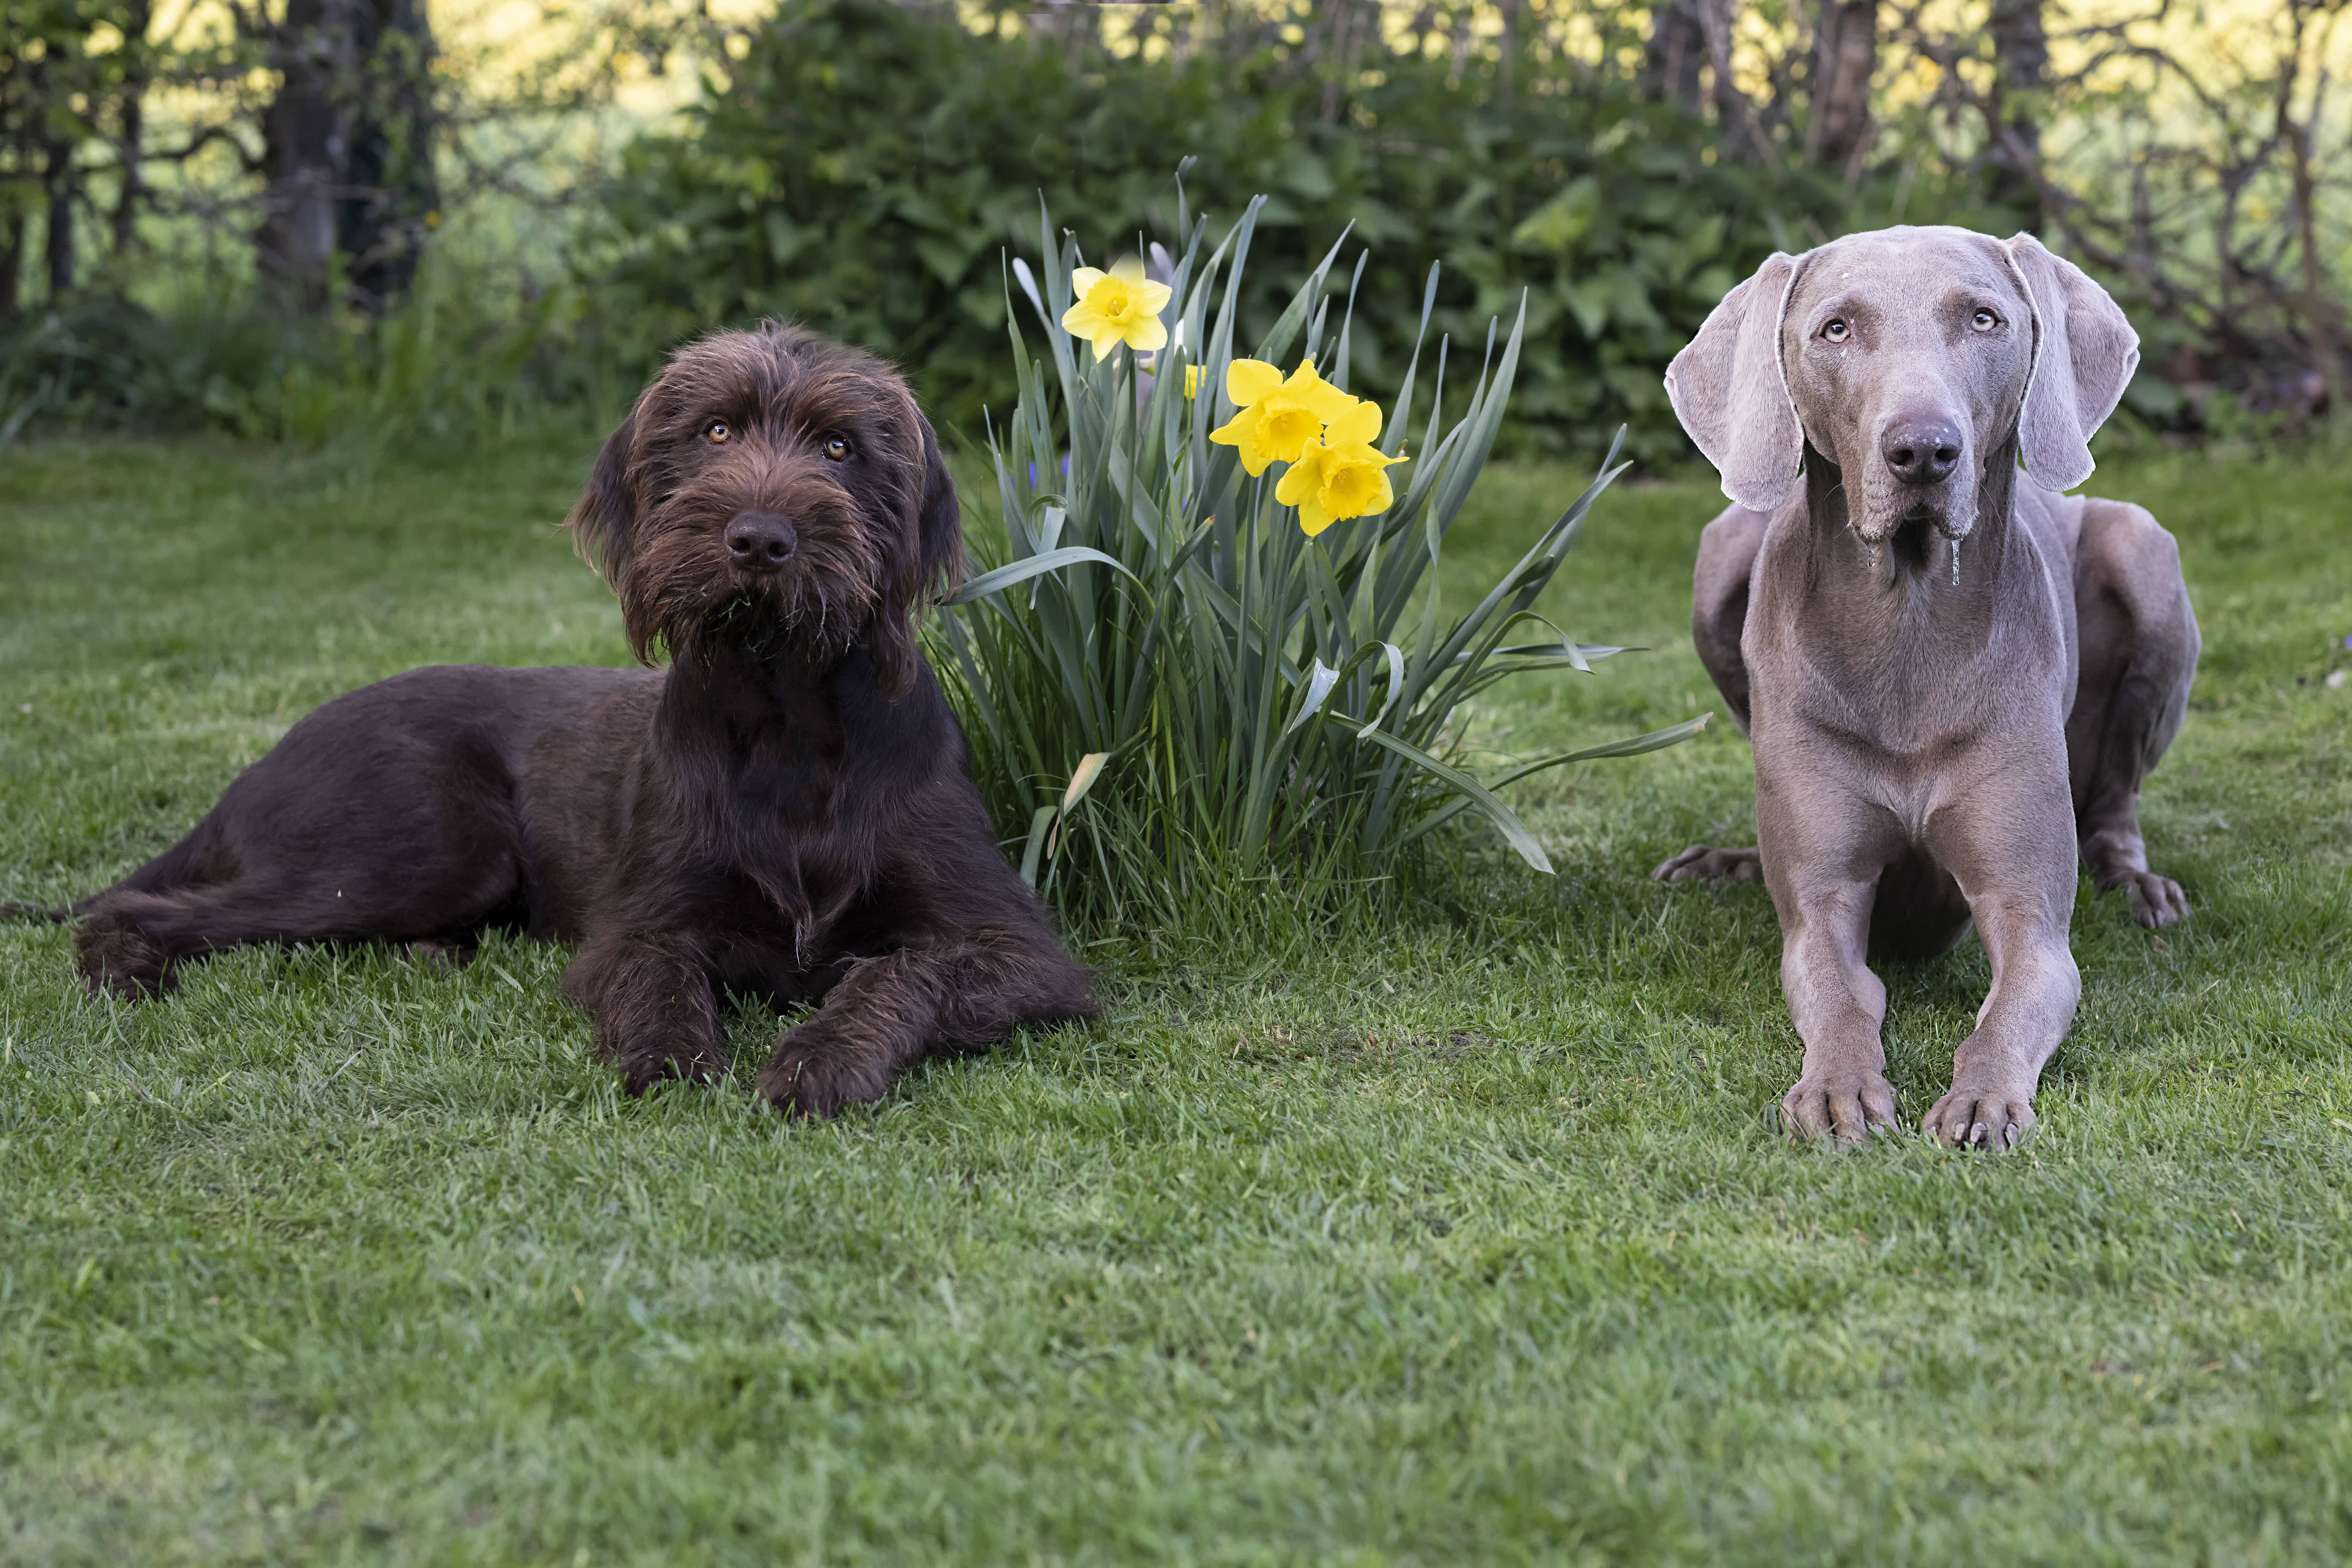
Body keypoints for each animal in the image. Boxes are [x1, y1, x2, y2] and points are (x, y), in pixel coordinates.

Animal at [39, 329, 1101, 1114]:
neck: (789, 717)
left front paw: (821, 1058)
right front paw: (672, 1060)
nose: (759, 539)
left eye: (840, 447)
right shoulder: (639, 923)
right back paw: (128, 979)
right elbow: (654, 979)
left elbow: (896, 976)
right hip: (420, 849)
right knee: (130, 906)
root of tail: (264, 757)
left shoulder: (1019, 951)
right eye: (715, 432)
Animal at [1656, 223, 2201, 1152]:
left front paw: (1983, 1099)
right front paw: (1837, 1088)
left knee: (2116, 801)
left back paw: (2136, 882)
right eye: (1835, 329)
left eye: (1982, 318)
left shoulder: (2027, 916)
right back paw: (1729, 862)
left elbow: (2007, 1009)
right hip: (1722, 547)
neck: (1906, 633)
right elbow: (1839, 996)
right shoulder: (1822, 907)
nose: (1922, 451)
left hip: (2144, 550)